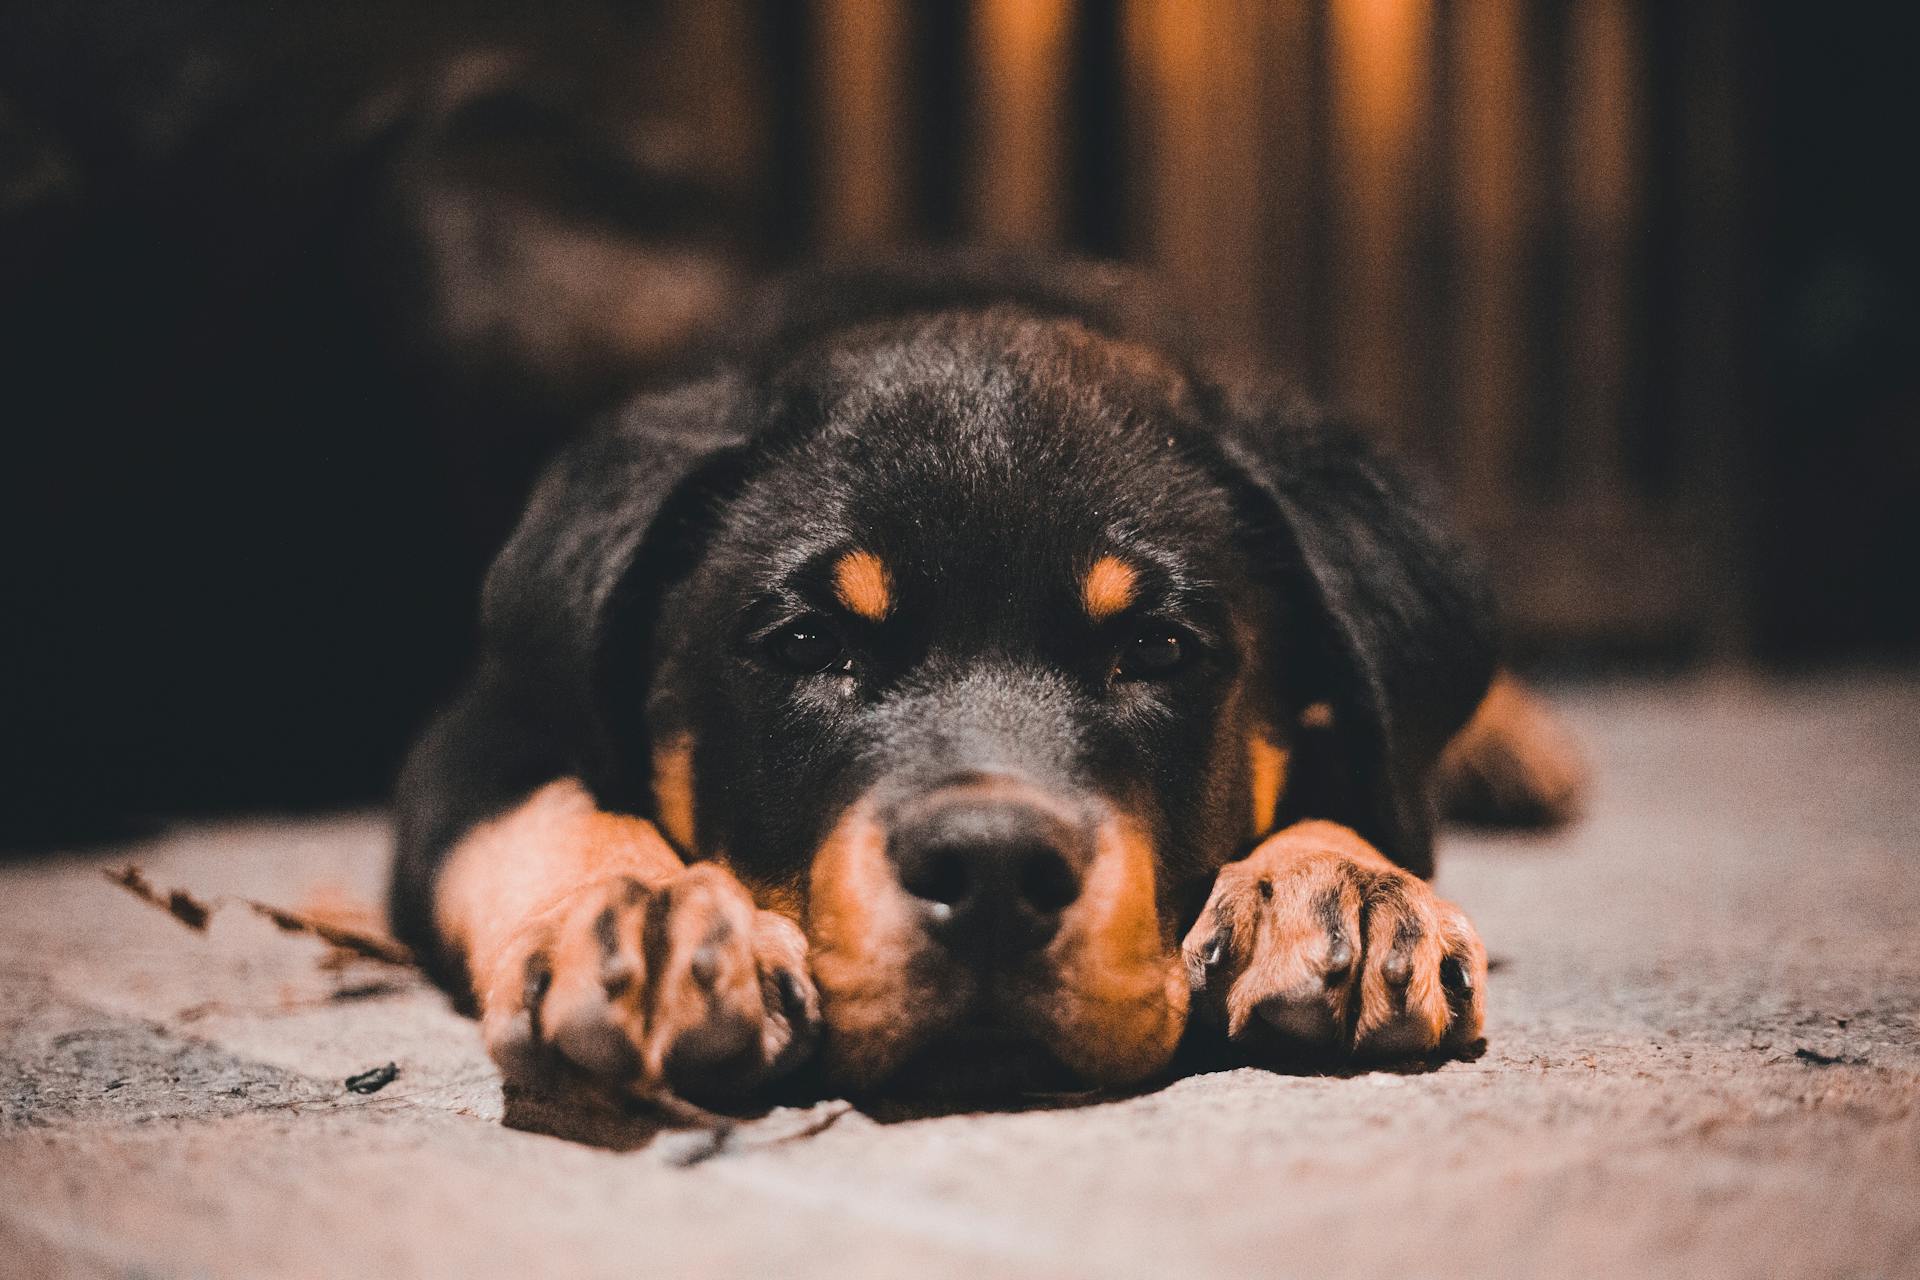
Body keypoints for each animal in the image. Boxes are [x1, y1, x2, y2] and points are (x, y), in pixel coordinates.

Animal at [393, 255, 1574, 1105]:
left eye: (1158, 650)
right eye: (808, 646)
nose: (995, 870)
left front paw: (1342, 883)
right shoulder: (488, 718)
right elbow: (548, 807)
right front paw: (645, 914)